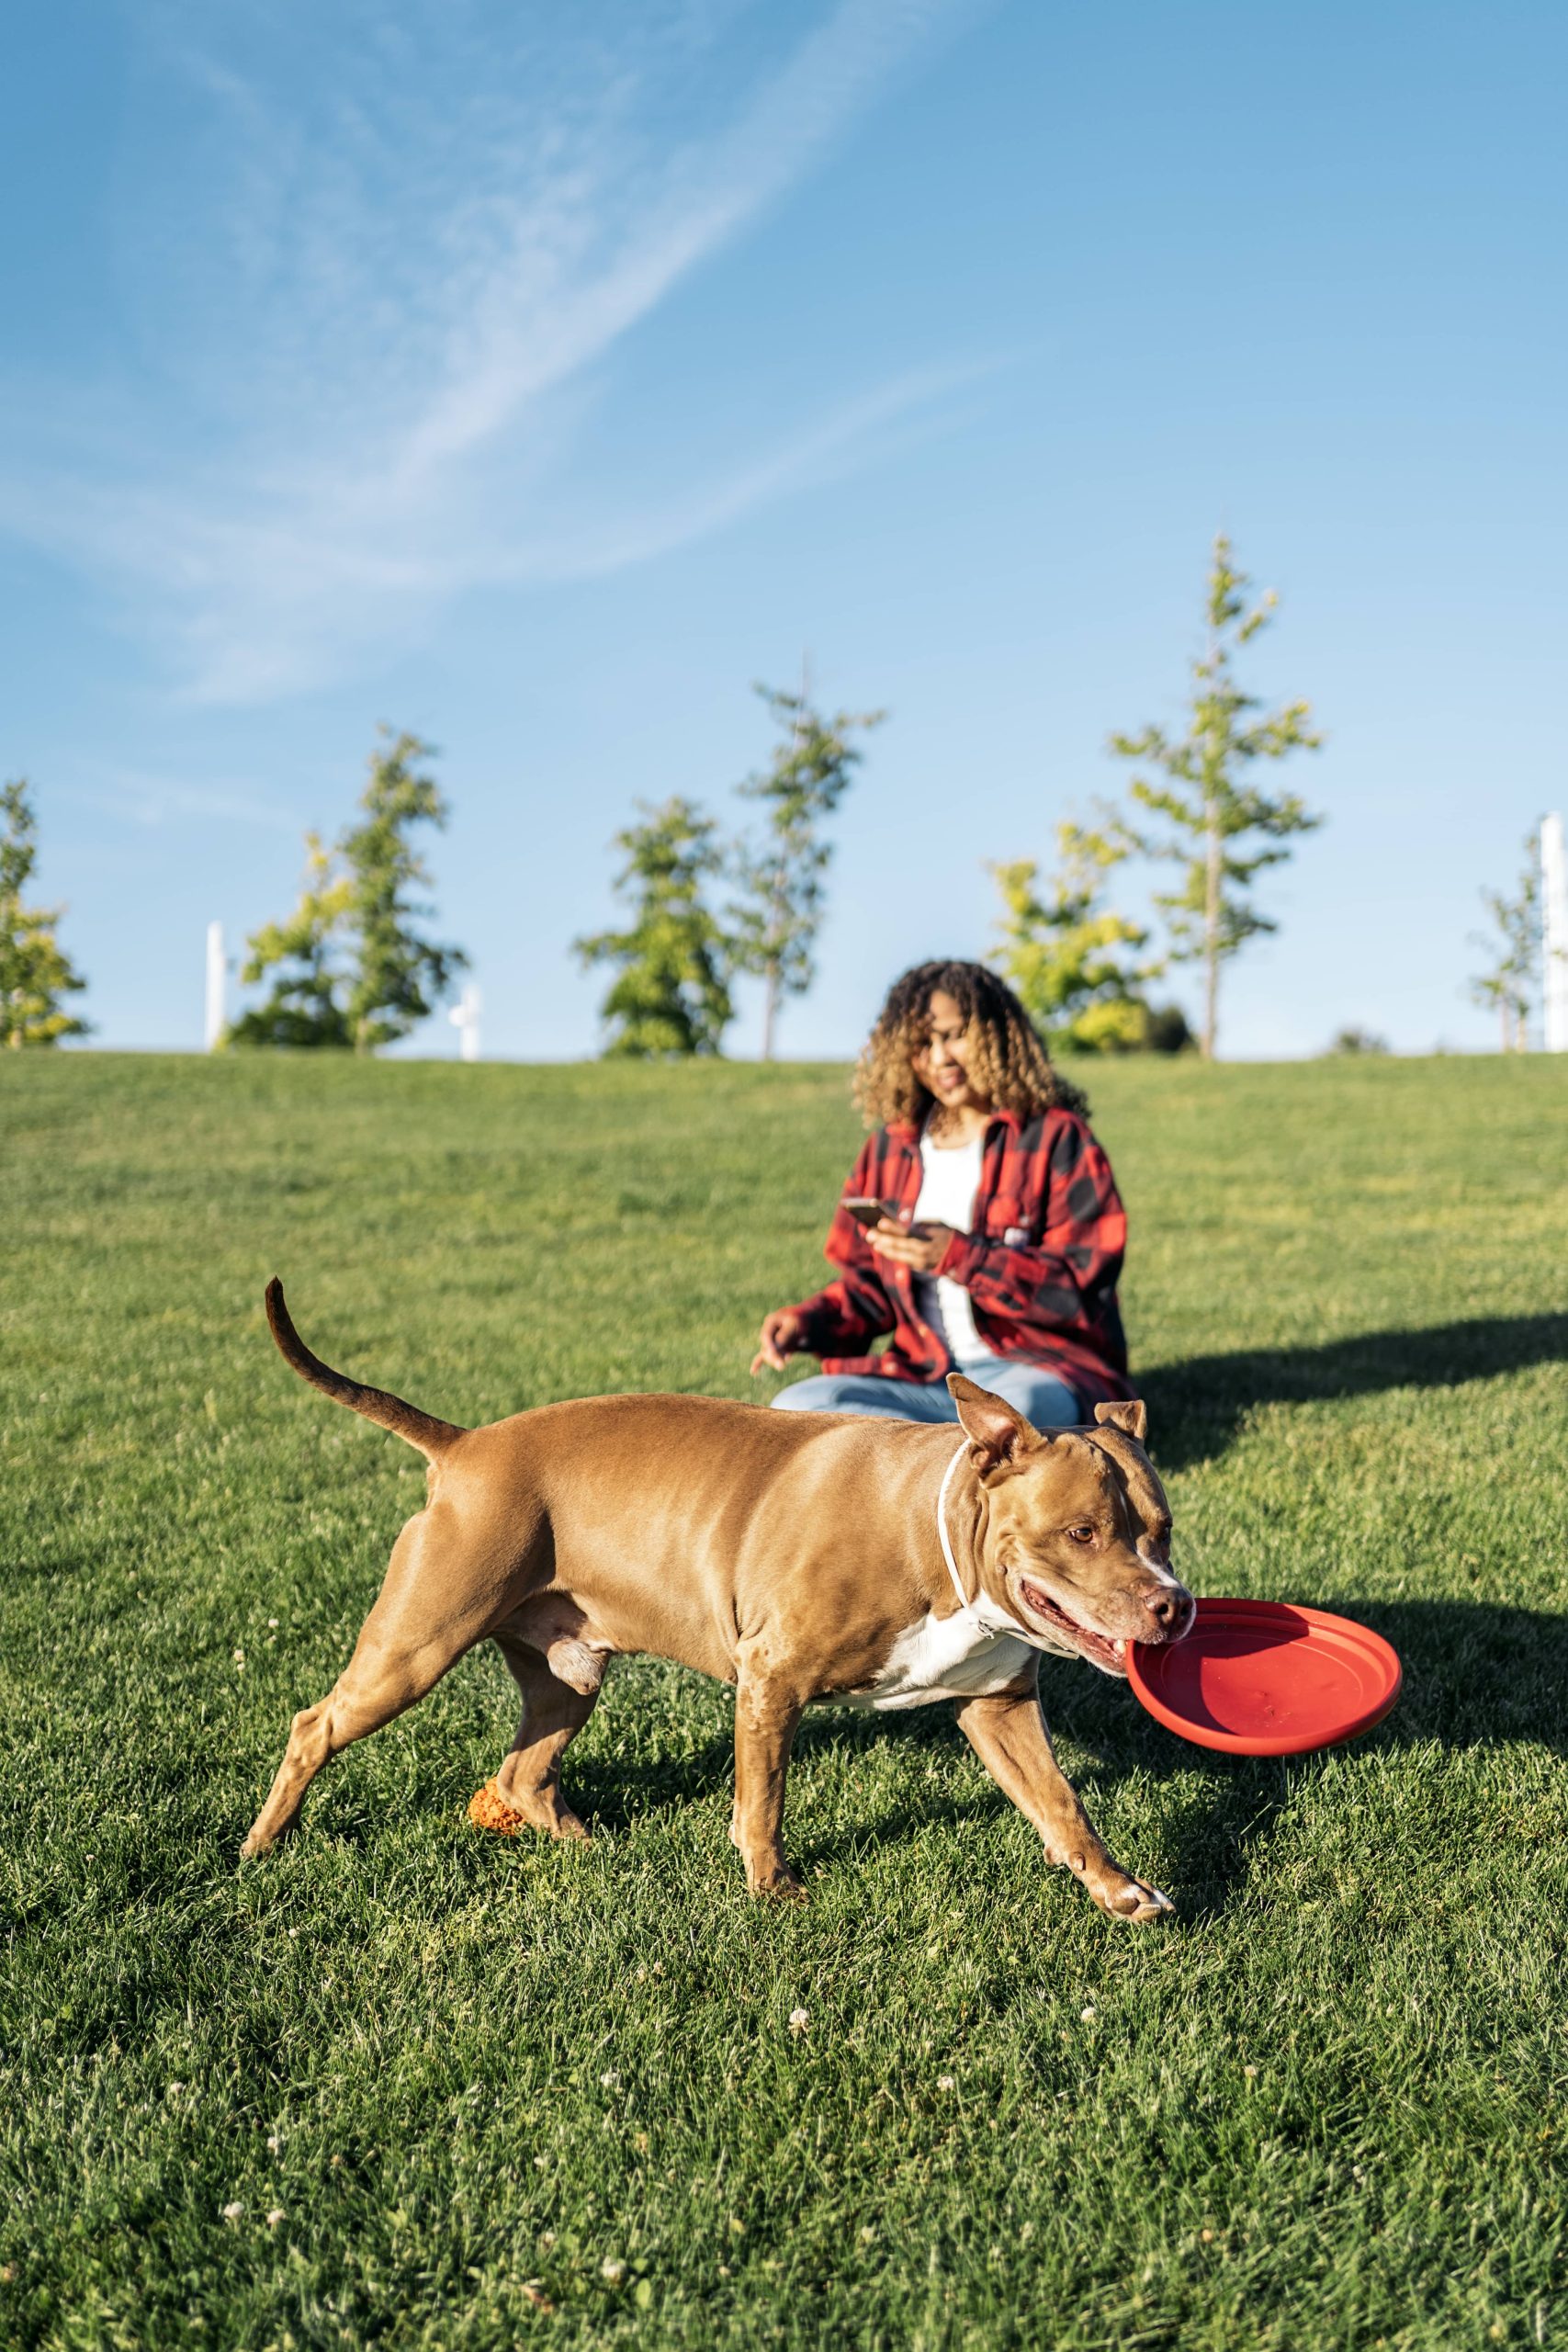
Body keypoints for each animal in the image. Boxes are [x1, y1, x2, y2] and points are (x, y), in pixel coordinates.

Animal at [245, 1288, 1194, 1928]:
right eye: (1080, 1532)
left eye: (1161, 1529)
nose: (1173, 1608)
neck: (938, 1537)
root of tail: (467, 1445)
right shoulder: (770, 1680)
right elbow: (761, 1802)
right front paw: (773, 1891)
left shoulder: (999, 1706)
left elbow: (1062, 1805)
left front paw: (1118, 1889)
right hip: (415, 1647)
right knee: (315, 1725)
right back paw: (261, 1847)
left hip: (566, 1674)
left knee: (522, 1773)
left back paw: (594, 1849)